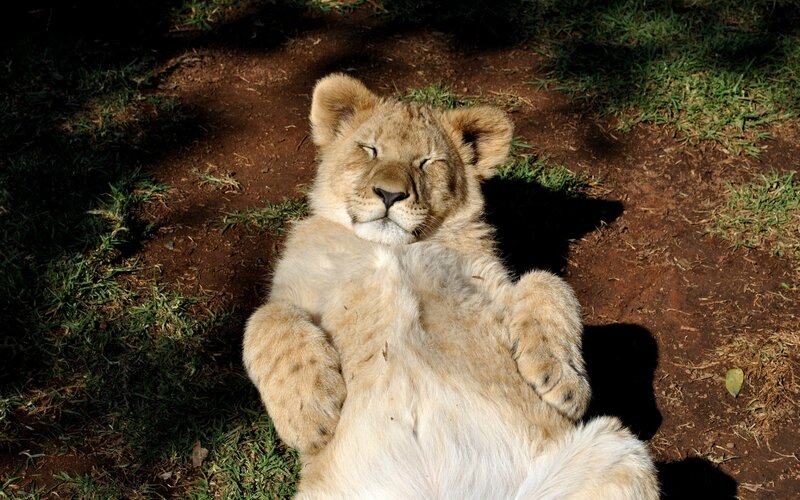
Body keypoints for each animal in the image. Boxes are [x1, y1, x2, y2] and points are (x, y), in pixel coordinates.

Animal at [243, 74, 659, 499]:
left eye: (428, 162)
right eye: (370, 149)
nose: (390, 194)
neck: (392, 248)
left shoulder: (491, 286)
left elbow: (548, 282)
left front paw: (562, 382)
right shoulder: (298, 287)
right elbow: (265, 318)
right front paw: (308, 414)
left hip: (620, 450)